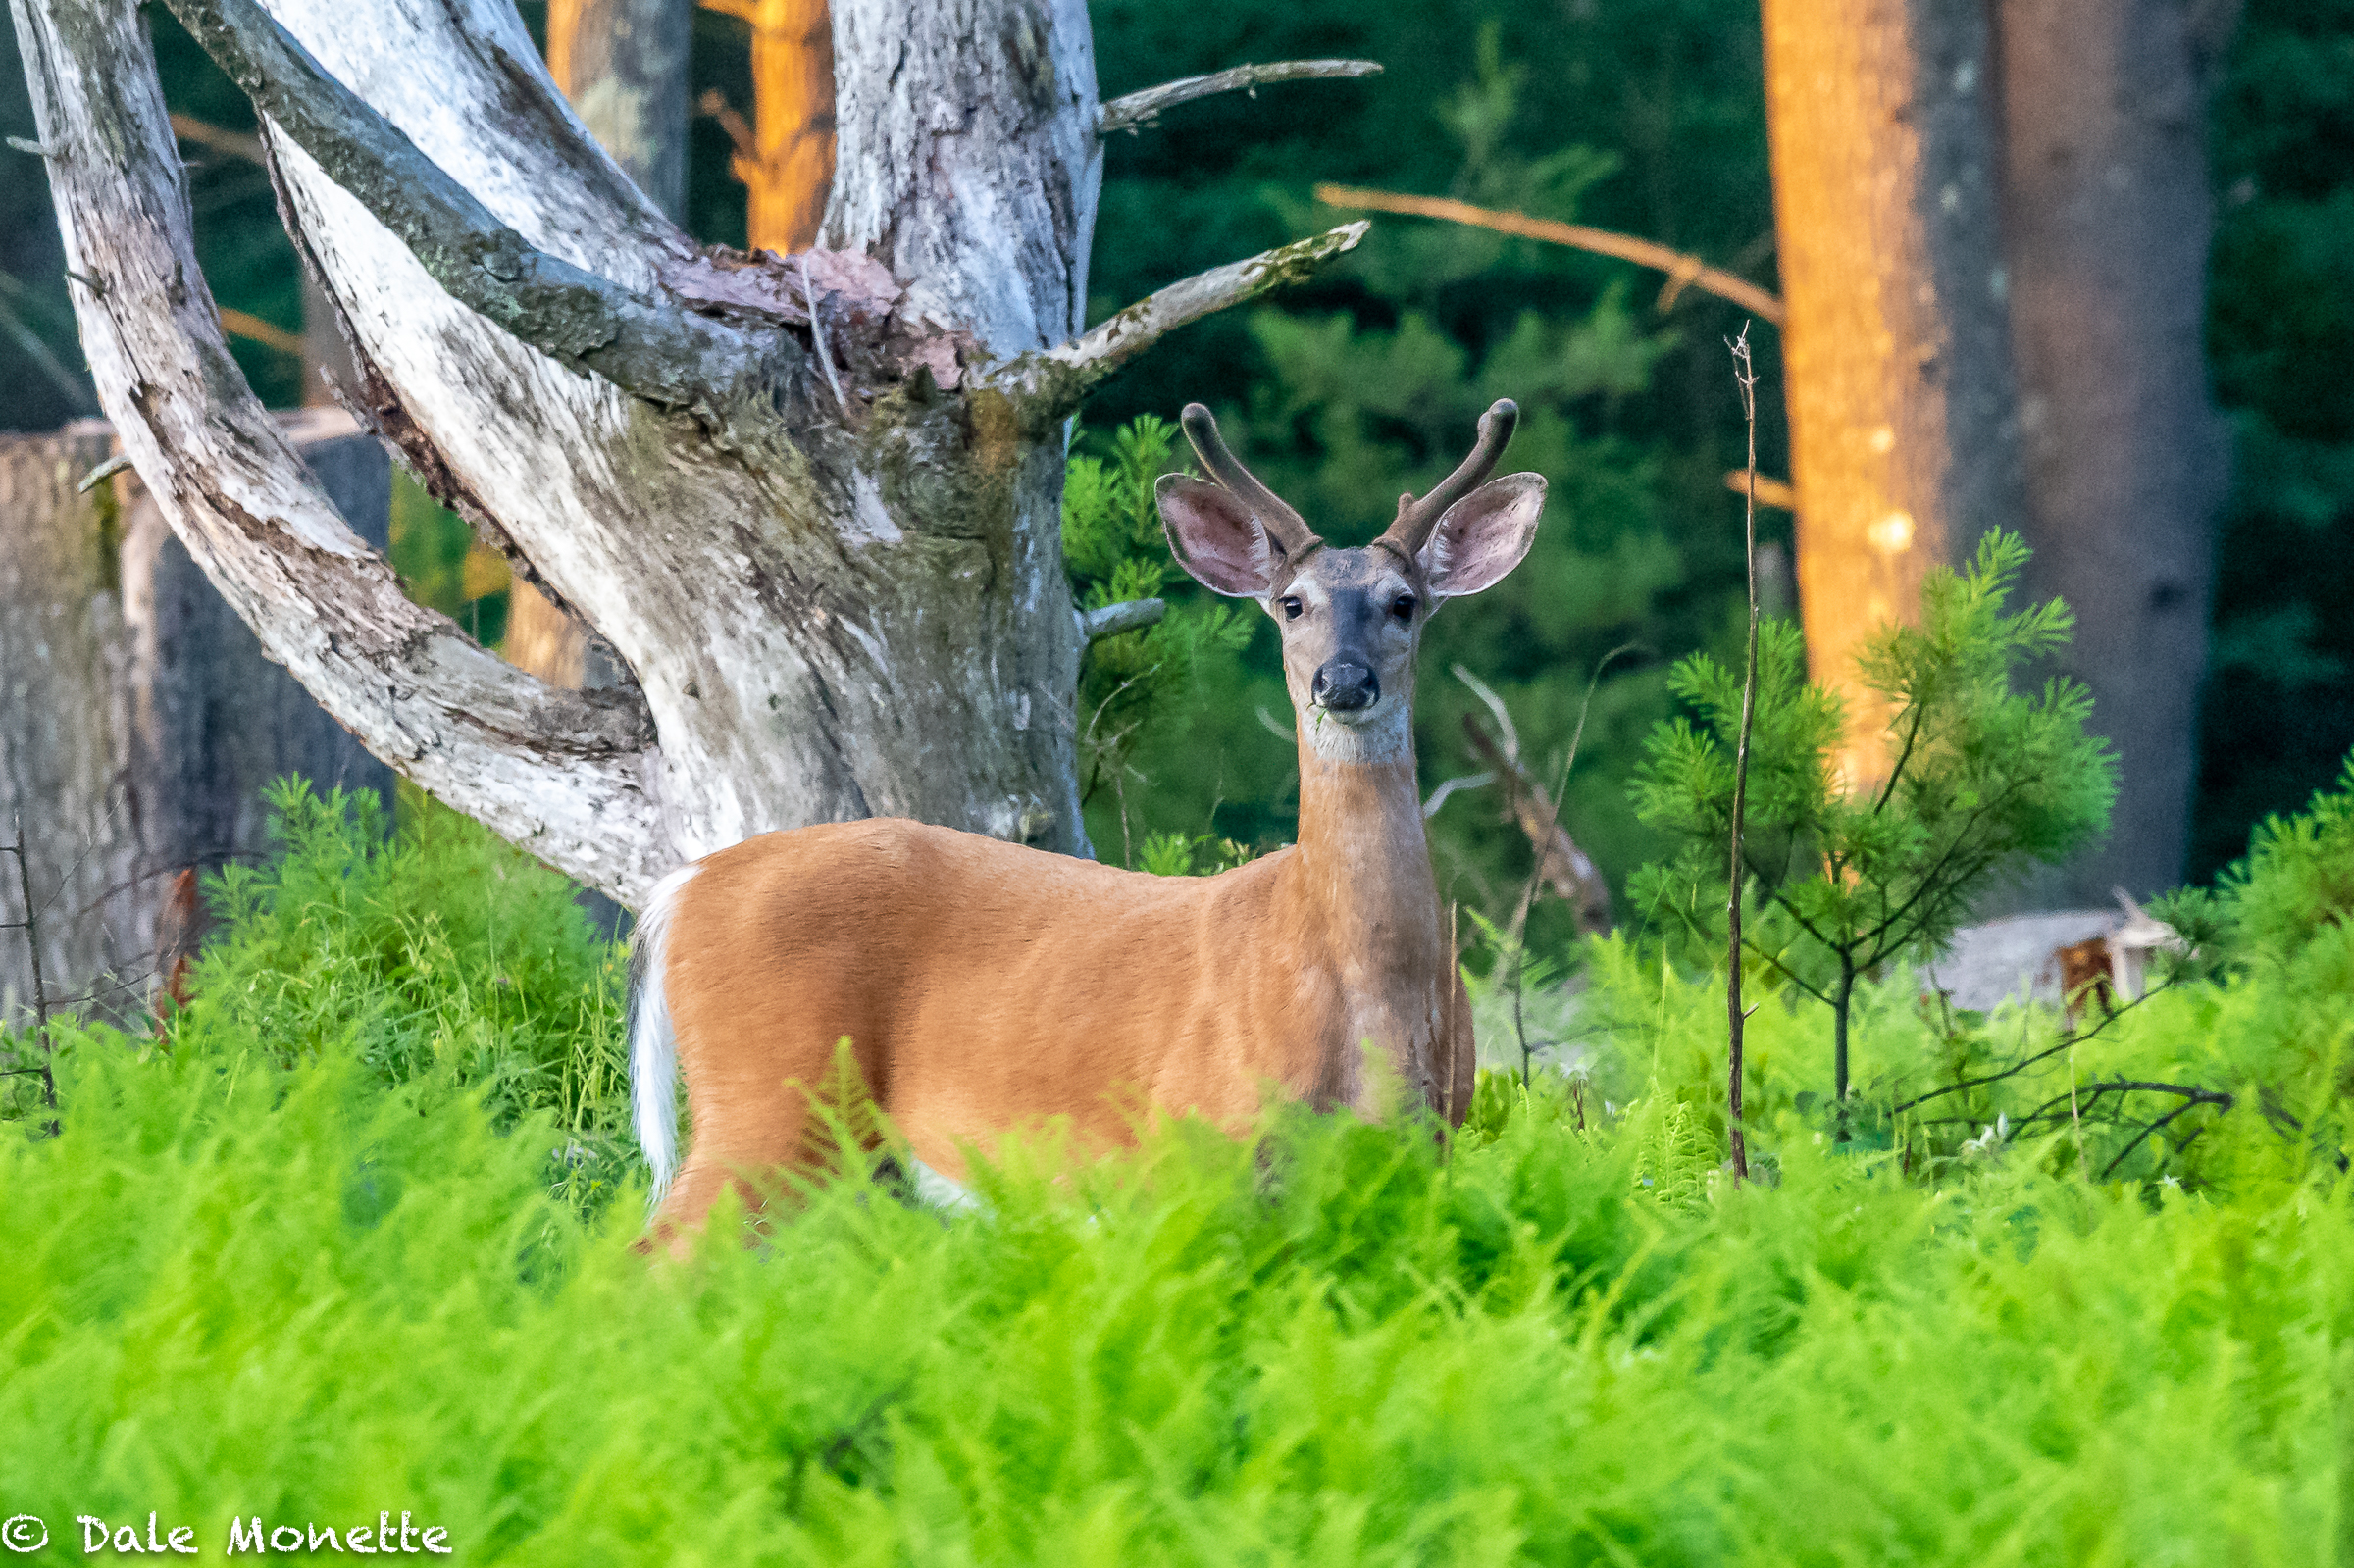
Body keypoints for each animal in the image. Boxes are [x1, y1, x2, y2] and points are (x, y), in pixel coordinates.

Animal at [631, 397, 1544, 1224]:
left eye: (1403, 602)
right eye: (1292, 603)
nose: (1344, 680)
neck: (1359, 988)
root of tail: (683, 888)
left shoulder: (1426, 1144)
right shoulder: (1194, 1141)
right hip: (768, 1100)